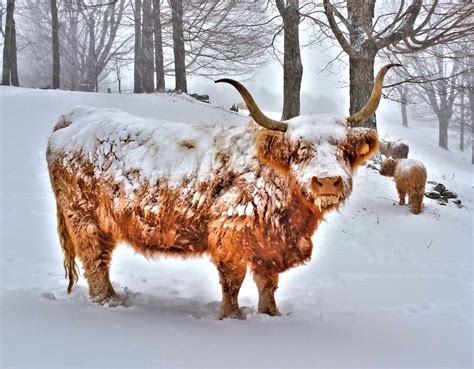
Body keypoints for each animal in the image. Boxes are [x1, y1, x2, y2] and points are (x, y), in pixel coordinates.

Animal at [47, 64, 396, 318]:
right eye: (300, 150)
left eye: (342, 150)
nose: (327, 181)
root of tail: (77, 115)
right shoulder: (231, 235)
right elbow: (233, 281)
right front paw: (232, 318)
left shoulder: (270, 246)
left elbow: (268, 283)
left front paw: (271, 315)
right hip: (84, 218)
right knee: (94, 260)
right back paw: (110, 302)